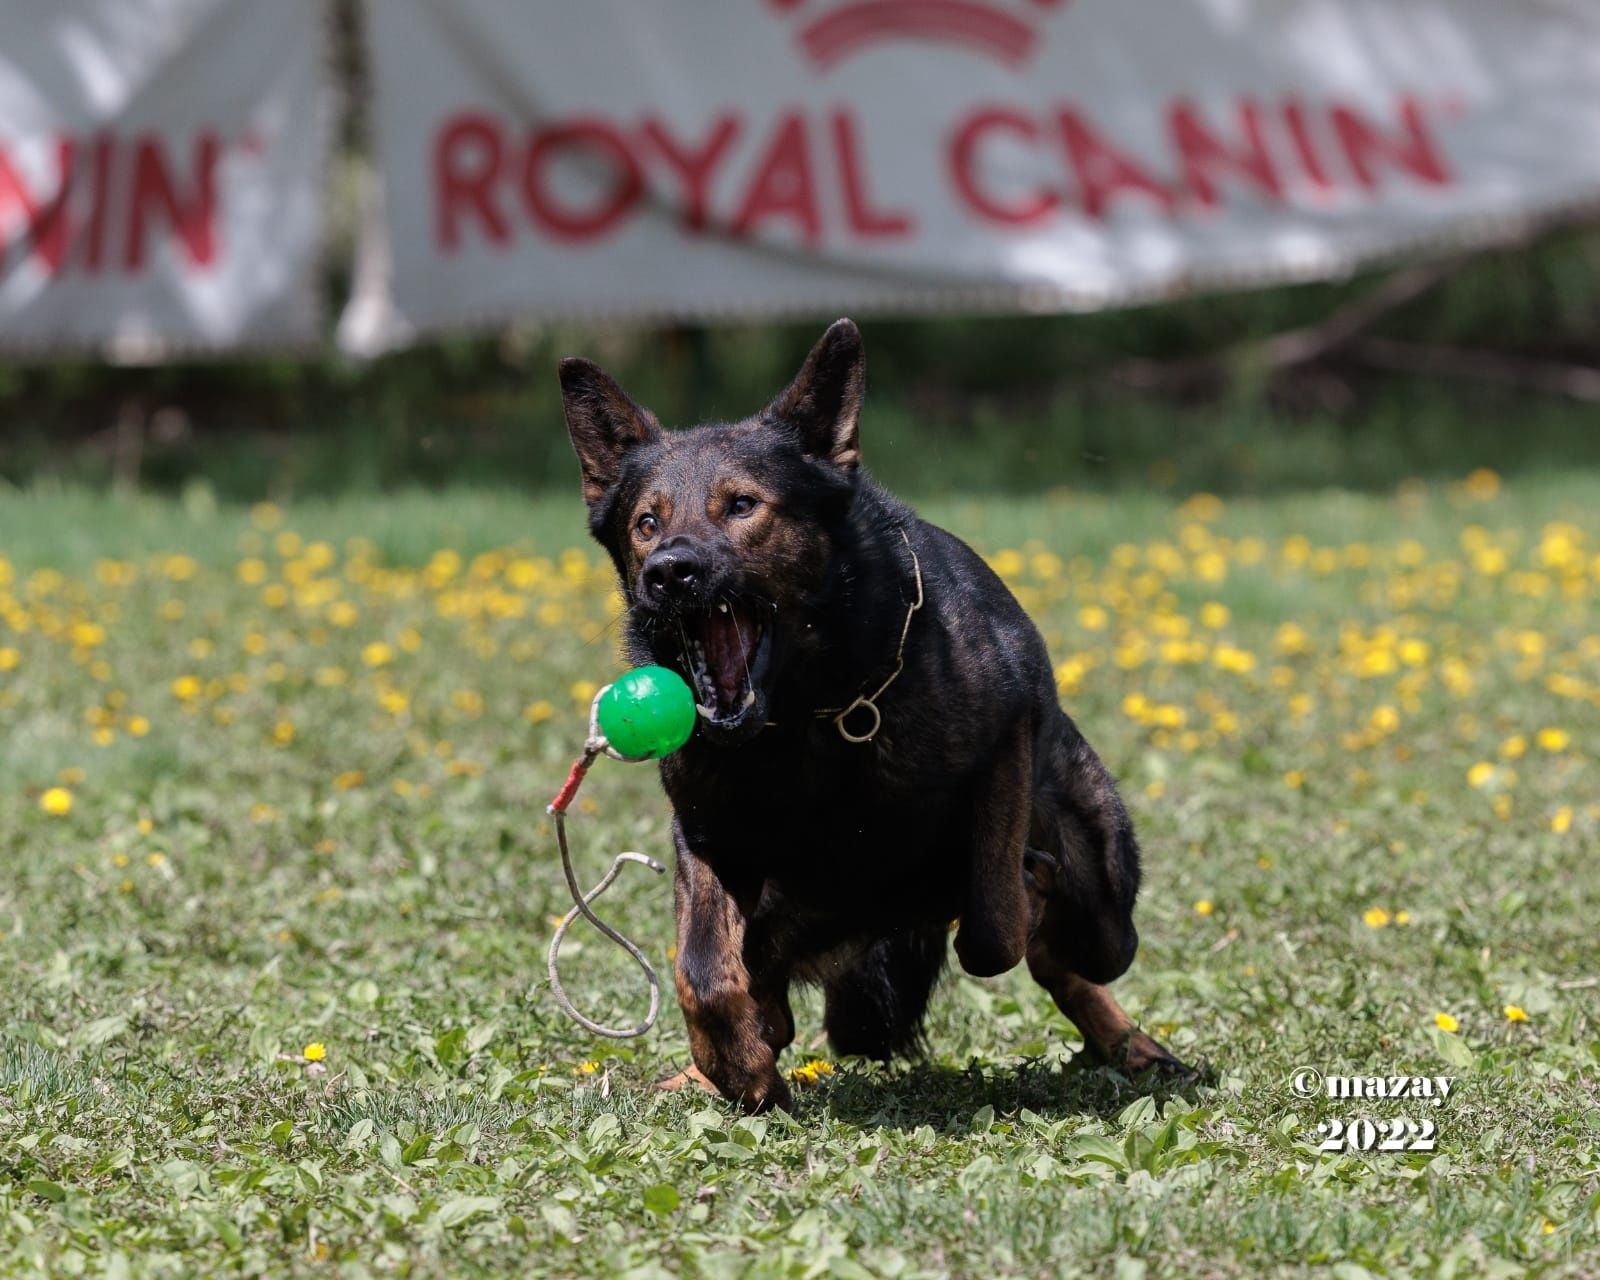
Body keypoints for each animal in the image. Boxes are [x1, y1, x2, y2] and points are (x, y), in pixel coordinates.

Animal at [556, 320, 1184, 1107]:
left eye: (742, 506)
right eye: (647, 522)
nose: (670, 572)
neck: (801, 720)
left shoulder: (1004, 743)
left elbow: (993, 927)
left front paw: (1020, 896)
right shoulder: (705, 835)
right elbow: (702, 972)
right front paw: (739, 1065)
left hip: (1103, 900)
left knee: (1071, 952)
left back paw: (1126, 1038)